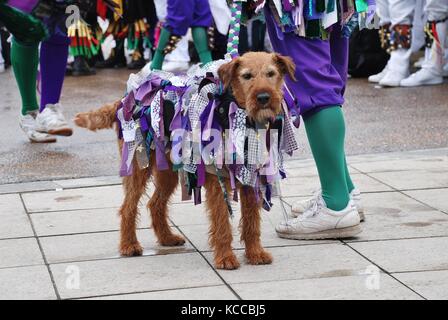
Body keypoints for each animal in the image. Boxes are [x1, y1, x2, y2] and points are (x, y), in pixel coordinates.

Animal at [75, 52, 296, 270]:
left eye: (271, 73)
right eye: (247, 76)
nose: (264, 98)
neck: (233, 111)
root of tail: (126, 100)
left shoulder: (251, 178)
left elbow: (251, 222)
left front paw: (255, 253)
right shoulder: (218, 180)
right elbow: (222, 223)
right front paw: (225, 258)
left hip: (167, 172)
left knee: (155, 204)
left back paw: (167, 238)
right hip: (138, 166)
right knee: (128, 207)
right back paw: (129, 245)